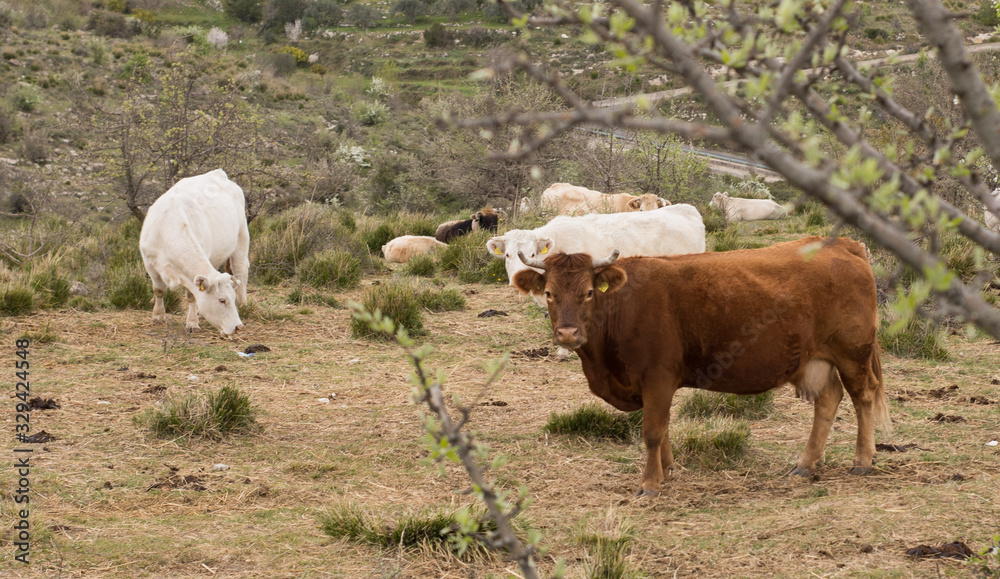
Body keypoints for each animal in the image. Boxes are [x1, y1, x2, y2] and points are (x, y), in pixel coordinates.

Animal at [139, 169, 248, 337]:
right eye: (222, 300)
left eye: (232, 298)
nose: (238, 327)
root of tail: (218, 173)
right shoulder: (150, 264)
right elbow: (158, 290)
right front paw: (158, 316)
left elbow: (191, 296)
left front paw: (192, 323)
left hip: (242, 239)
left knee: (240, 271)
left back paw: (242, 304)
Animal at [511, 236, 891, 496]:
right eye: (549, 293)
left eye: (589, 292)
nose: (568, 333)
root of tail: (841, 244)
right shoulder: (652, 385)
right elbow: (662, 428)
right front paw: (667, 470)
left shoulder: (658, 377)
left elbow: (652, 431)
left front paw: (650, 483)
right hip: (817, 359)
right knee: (828, 400)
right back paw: (805, 464)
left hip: (852, 353)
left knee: (863, 397)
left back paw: (862, 461)